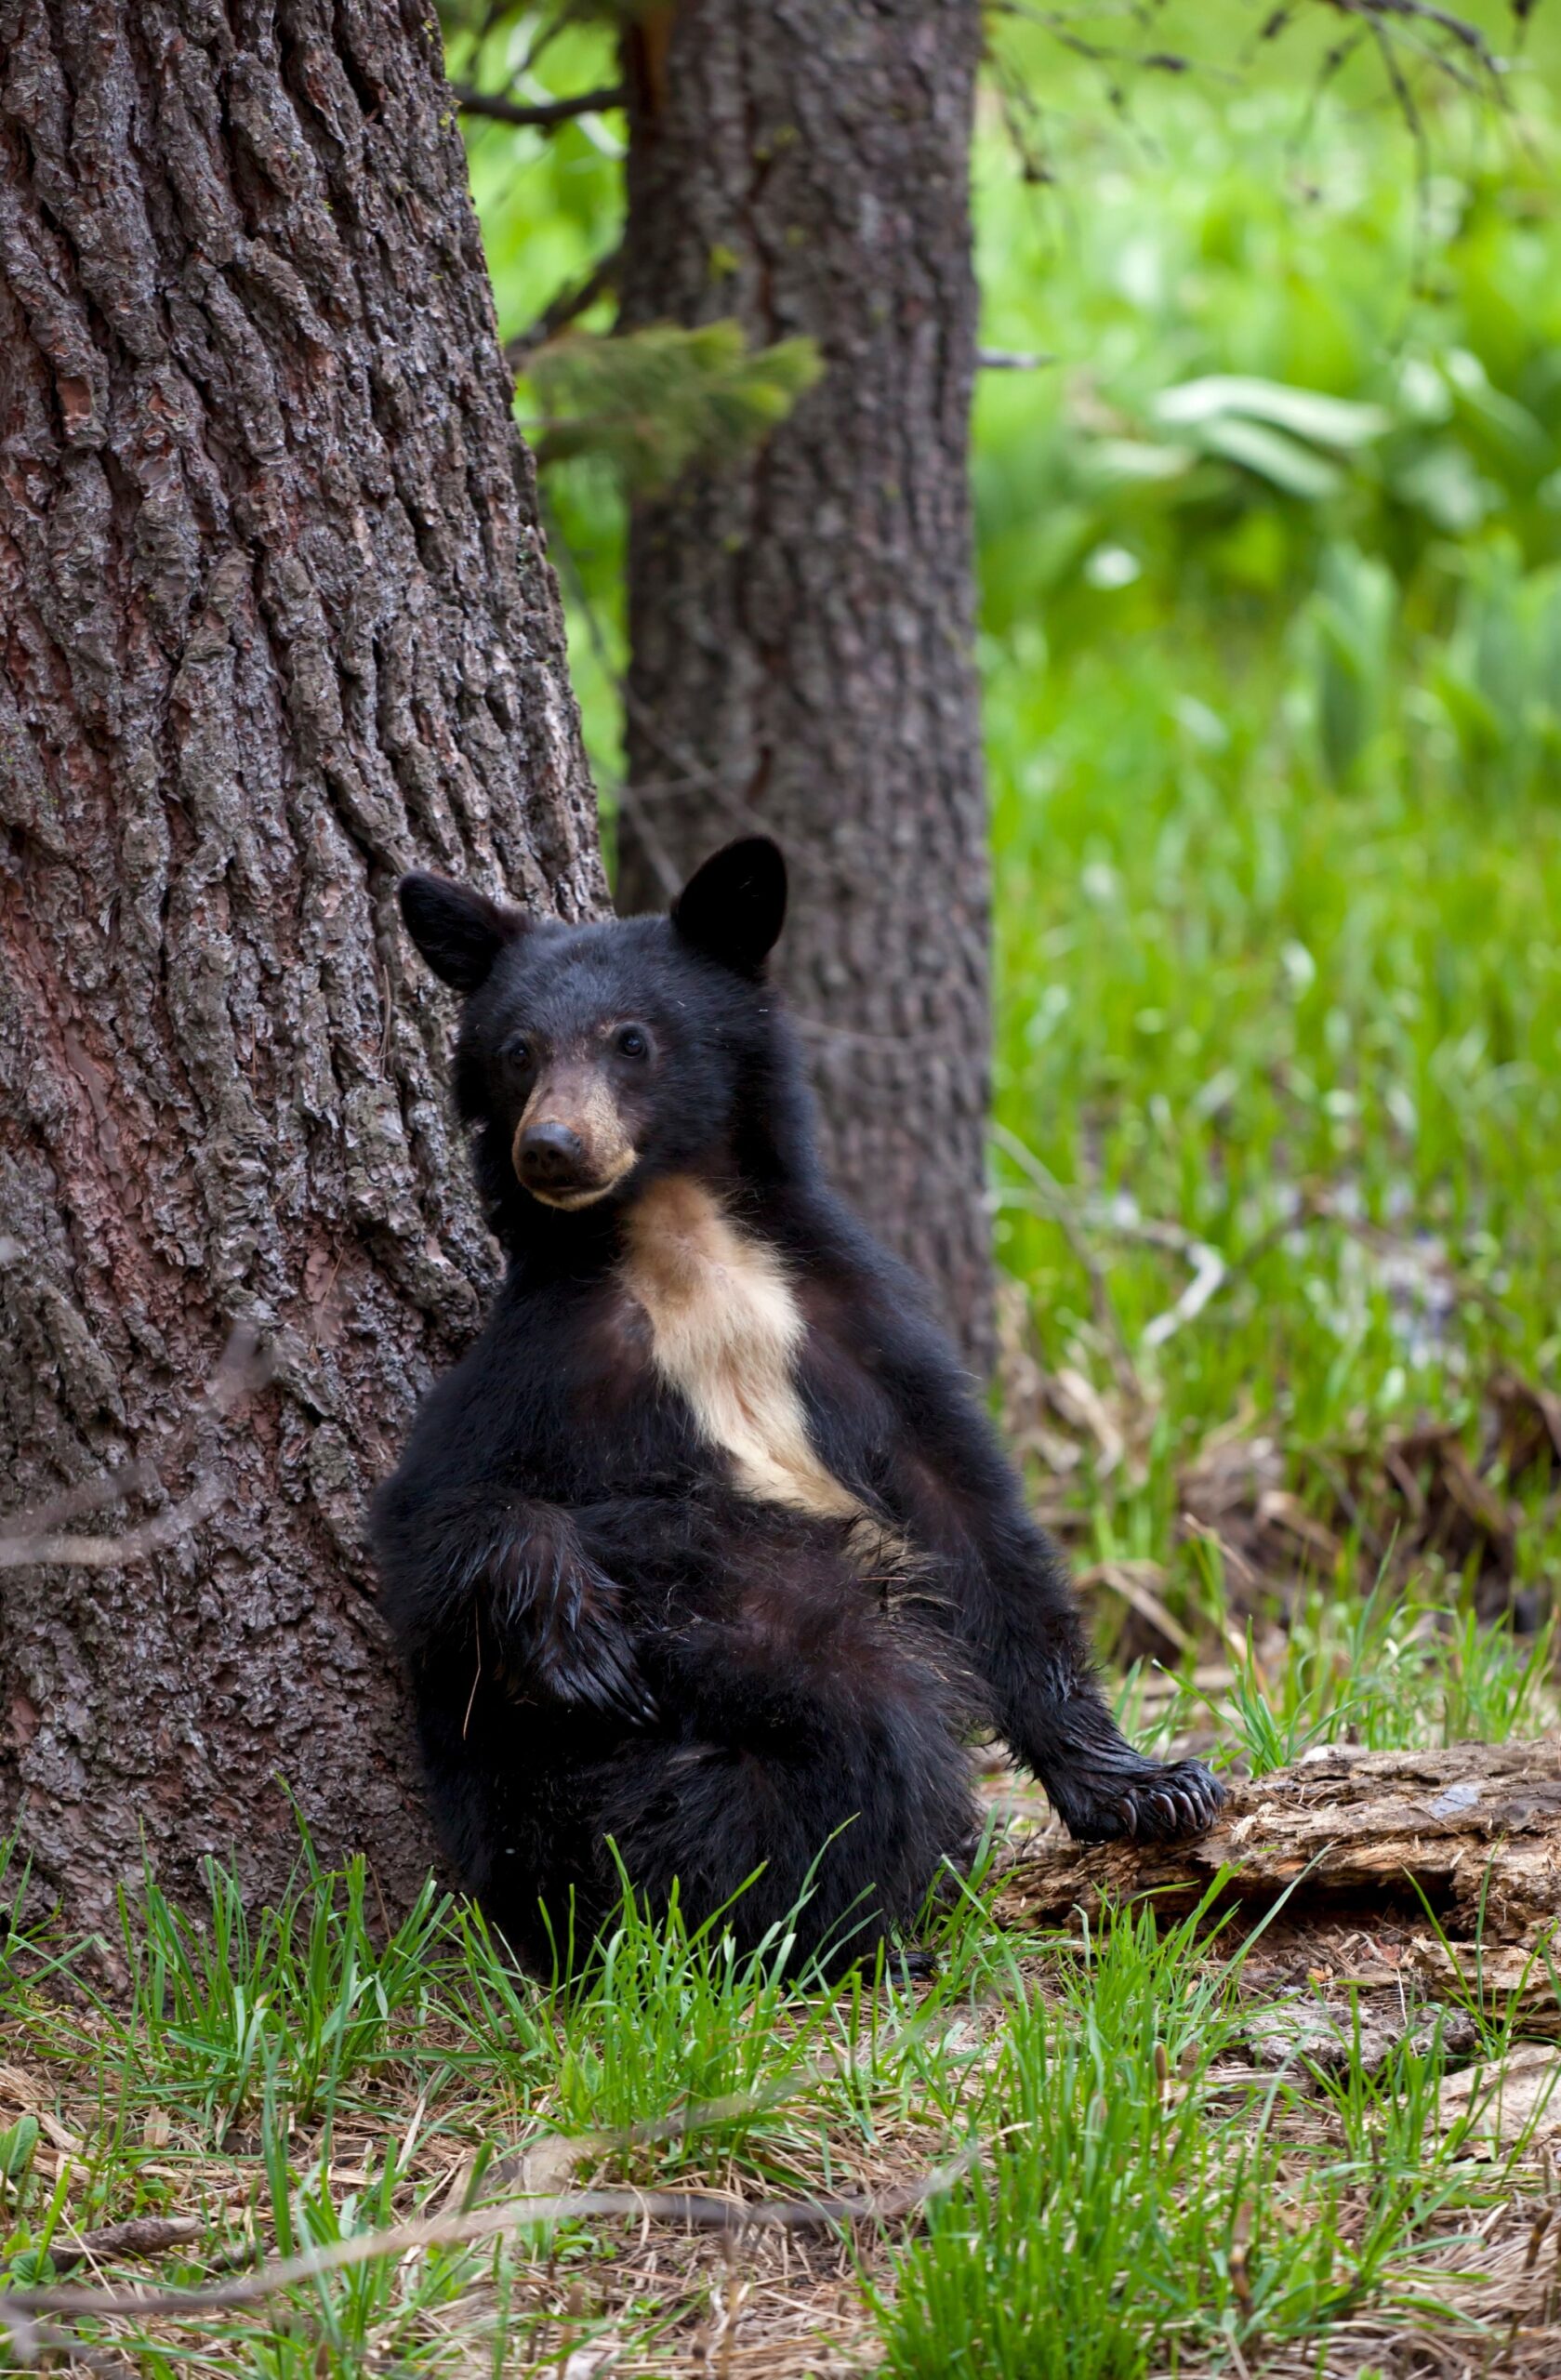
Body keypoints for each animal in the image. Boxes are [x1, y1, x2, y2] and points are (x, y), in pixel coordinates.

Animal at [370, 837, 1222, 1974]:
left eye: (631, 1041)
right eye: (516, 1051)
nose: (550, 1147)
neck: (682, 1247)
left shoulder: (847, 1327)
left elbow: (973, 1516)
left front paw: (1150, 1788)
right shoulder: (548, 1357)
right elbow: (441, 1509)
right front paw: (576, 1638)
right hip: (571, 1787)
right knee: (839, 1694)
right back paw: (811, 1928)